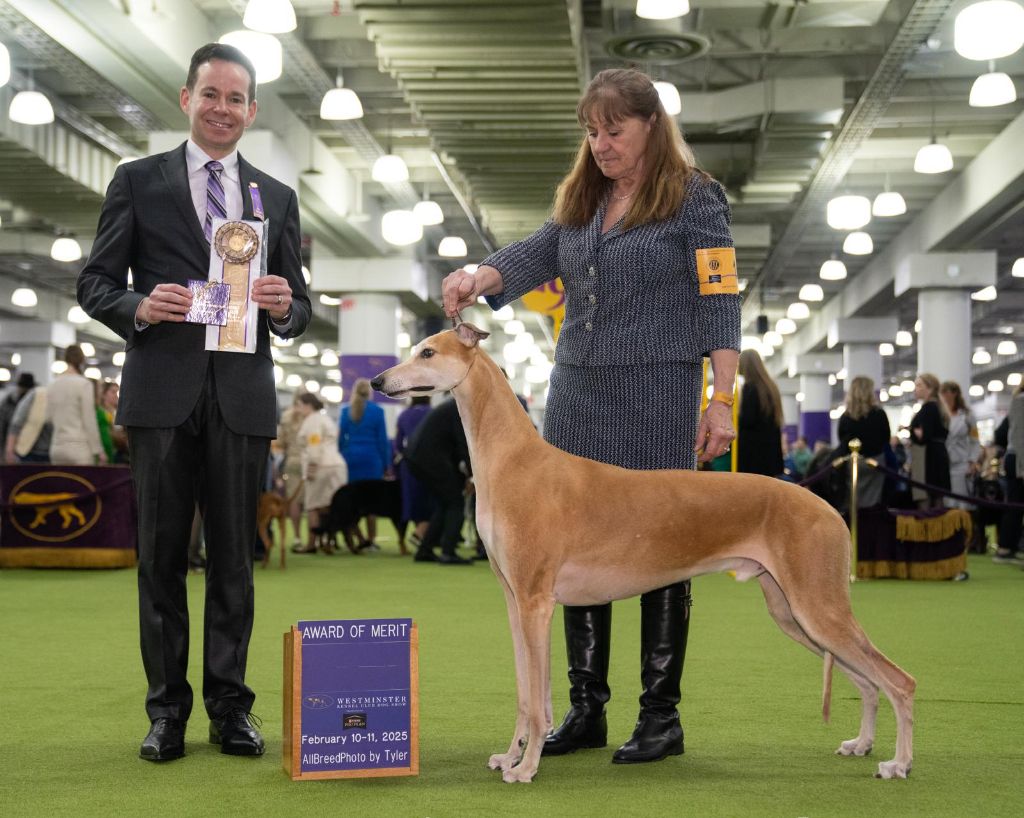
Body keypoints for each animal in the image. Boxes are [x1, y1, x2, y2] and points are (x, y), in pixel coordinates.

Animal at [372, 323, 917, 782]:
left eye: (427, 351)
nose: (378, 380)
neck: (516, 460)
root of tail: (830, 509)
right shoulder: (515, 602)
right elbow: (526, 694)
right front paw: (511, 756)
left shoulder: (534, 604)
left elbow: (537, 702)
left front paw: (525, 769)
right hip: (793, 612)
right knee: (867, 680)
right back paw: (862, 744)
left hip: (817, 606)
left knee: (899, 680)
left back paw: (898, 764)